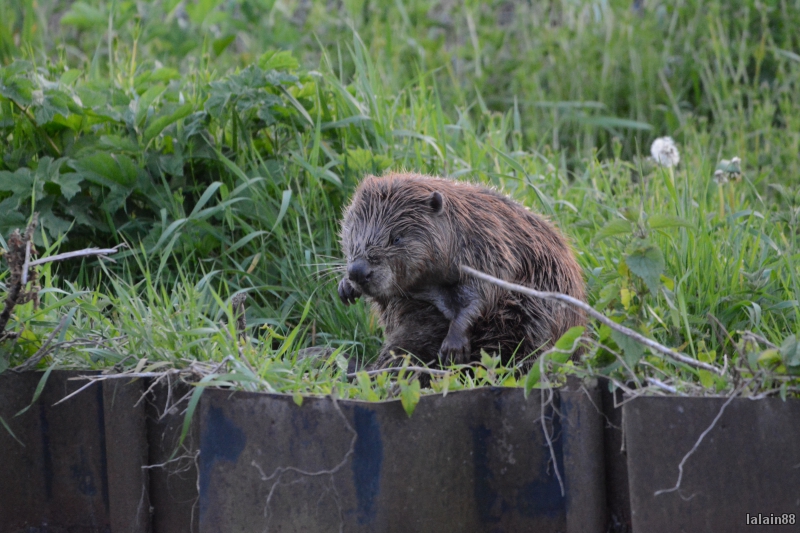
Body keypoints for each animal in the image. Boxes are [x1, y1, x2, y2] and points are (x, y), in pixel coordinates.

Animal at [338, 172, 588, 368]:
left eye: (396, 238)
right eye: (353, 233)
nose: (358, 271)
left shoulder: (490, 247)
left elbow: (482, 294)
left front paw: (453, 347)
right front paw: (346, 288)